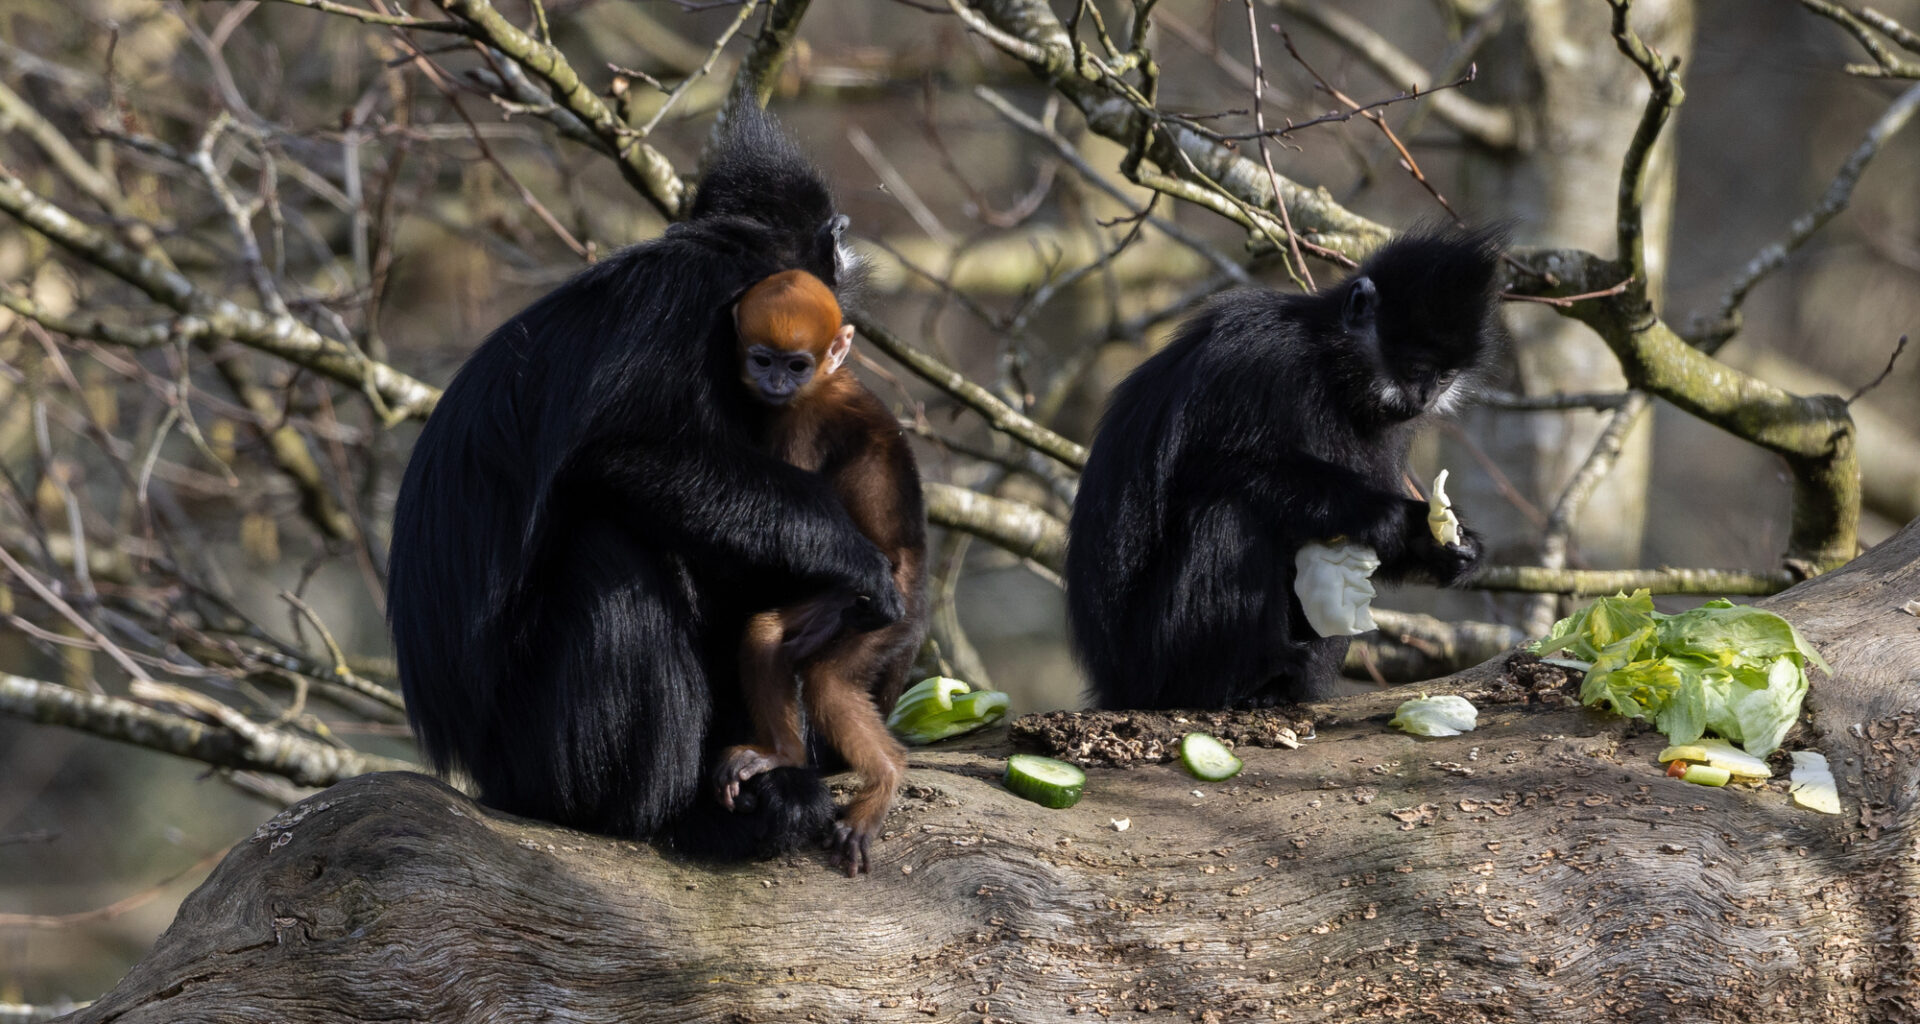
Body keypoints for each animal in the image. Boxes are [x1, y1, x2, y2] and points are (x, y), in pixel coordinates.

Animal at [387, 102, 903, 863]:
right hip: (537, 746)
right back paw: (666, 814)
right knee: (609, 548)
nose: (846, 248)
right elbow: (622, 456)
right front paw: (856, 559)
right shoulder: (684, 305)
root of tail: (483, 770)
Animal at [710, 268, 929, 876]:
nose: (776, 381)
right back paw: (781, 754)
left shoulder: (801, 423)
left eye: (797, 366)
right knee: (766, 633)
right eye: (763, 359)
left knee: (831, 682)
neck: (827, 382)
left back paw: (885, 778)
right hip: (841, 604)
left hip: (887, 616)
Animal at [1064, 227, 1504, 711]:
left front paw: (1444, 543)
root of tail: (1115, 685)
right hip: (1154, 662)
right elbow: (1199, 467)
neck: (1332, 370)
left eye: (1444, 378)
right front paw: (1384, 514)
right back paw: (1253, 682)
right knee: (1228, 514)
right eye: (1415, 369)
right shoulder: (1260, 358)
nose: (1424, 397)